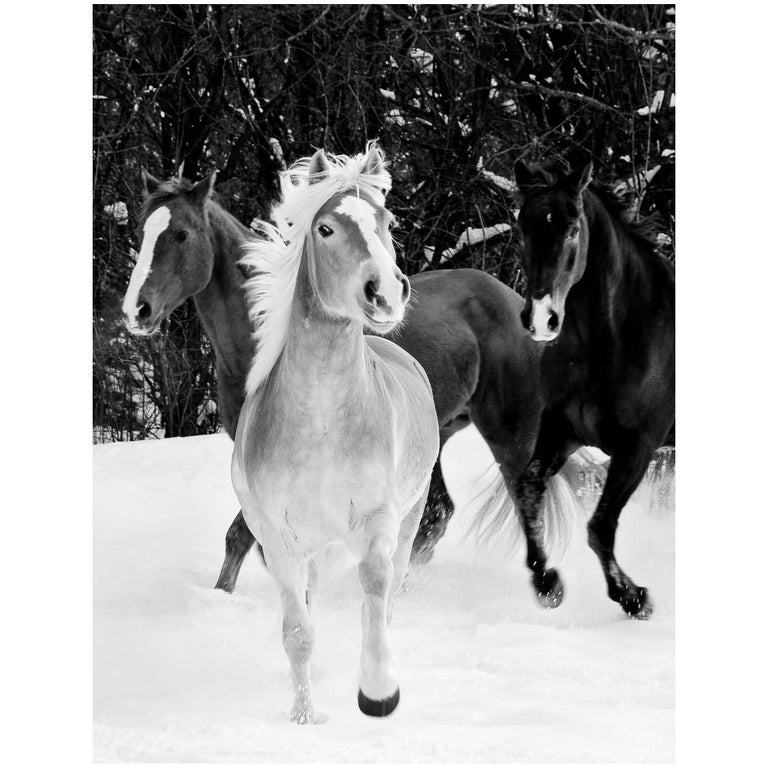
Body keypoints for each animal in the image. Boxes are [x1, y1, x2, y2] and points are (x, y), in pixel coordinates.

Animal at [121, 160, 591, 605]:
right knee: (436, 516)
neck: (263, 343)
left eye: (181, 234)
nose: (136, 311)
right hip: (436, 437)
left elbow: (243, 536)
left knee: (521, 499)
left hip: (510, 433)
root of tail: (523, 311)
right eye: (143, 231)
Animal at [231, 144, 439, 721]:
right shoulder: (279, 539)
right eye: (325, 228)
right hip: (312, 546)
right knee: (311, 601)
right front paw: (304, 717)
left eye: (388, 222)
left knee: (386, 597)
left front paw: (378, 692)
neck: (321, 424)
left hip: (410, 517)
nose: (386, 293)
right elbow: (298, 630)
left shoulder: (377, 517)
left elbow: (374, 585)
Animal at [510, 159, 675, 619]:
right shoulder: (562, 431)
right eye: (523, 227)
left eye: (572, 230)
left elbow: (600, 526)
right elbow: (527, 488)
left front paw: (633, 596)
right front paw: (547, 582)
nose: (541, 318)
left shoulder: (638, 446)